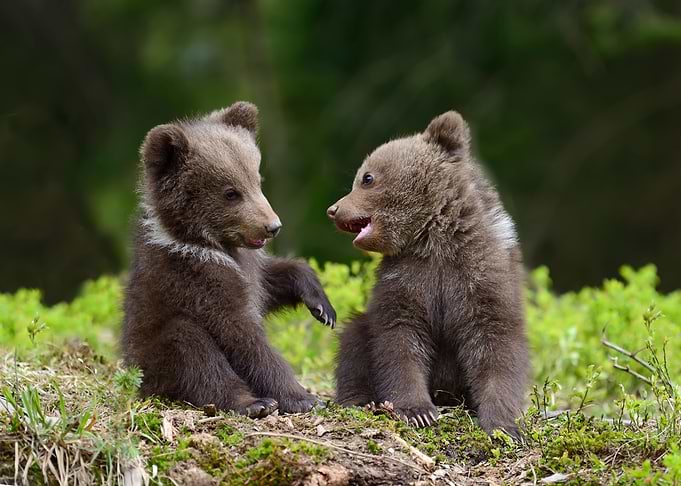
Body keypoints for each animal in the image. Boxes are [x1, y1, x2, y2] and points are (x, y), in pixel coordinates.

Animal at [122, 101, 336, 418]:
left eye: (257, 180)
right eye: (231, 192)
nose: (272, 226)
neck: (205, 243)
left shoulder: (249, 267)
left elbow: (272, 281)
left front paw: (322, 306)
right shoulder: (197, 278)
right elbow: (241, 335)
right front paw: (302, 397)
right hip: (152, 358)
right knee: (192, 350)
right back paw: (253, 403)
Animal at [327, 110, 529, 437]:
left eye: (367, 178)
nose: (333, 209)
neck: (433, 239)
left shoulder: (481, 275)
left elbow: (495, 344)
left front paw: (502, 423)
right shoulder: (405, 280)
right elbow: (399, 340)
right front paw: (417, 411)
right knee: (353, 339)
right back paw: (361, 400)